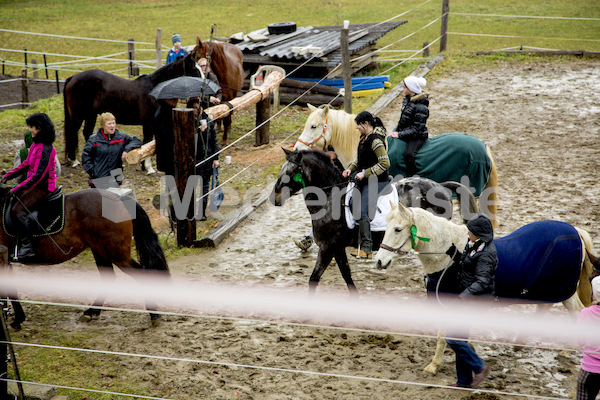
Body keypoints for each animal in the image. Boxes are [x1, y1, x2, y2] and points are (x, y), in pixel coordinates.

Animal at [0, 184, 169, 324]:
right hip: (100, 250)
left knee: (141, 275)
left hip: (116, 254)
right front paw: (18, 318)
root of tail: (118, 198)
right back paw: (92, 312)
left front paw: (16, 319)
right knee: (109, 278)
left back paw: (154, 314)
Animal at [62, 41, 204, 164]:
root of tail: (72, 78)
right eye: (194, 69)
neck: (154, 89)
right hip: (78, 116)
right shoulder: (148, 123)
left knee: (87, 132)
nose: (204, 87)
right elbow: (147, 142)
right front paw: (147, 167)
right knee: (72, 133)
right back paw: (74, 161)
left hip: (91, 115)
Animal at [272, 149, 478, 294]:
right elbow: (347, 277)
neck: (330, 198)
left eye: (290, 172)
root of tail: (440, 186)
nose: (274, 198)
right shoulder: (336, 248)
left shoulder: (327, 247)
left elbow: (314, 279)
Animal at [372, 203, 596, 376]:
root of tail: (576, 231)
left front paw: (434, 366)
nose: (379, 261)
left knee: (576, 311)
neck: (450, 257)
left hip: (564, 290)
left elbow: (443, 335)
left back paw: (568, 350)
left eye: (398, 229)